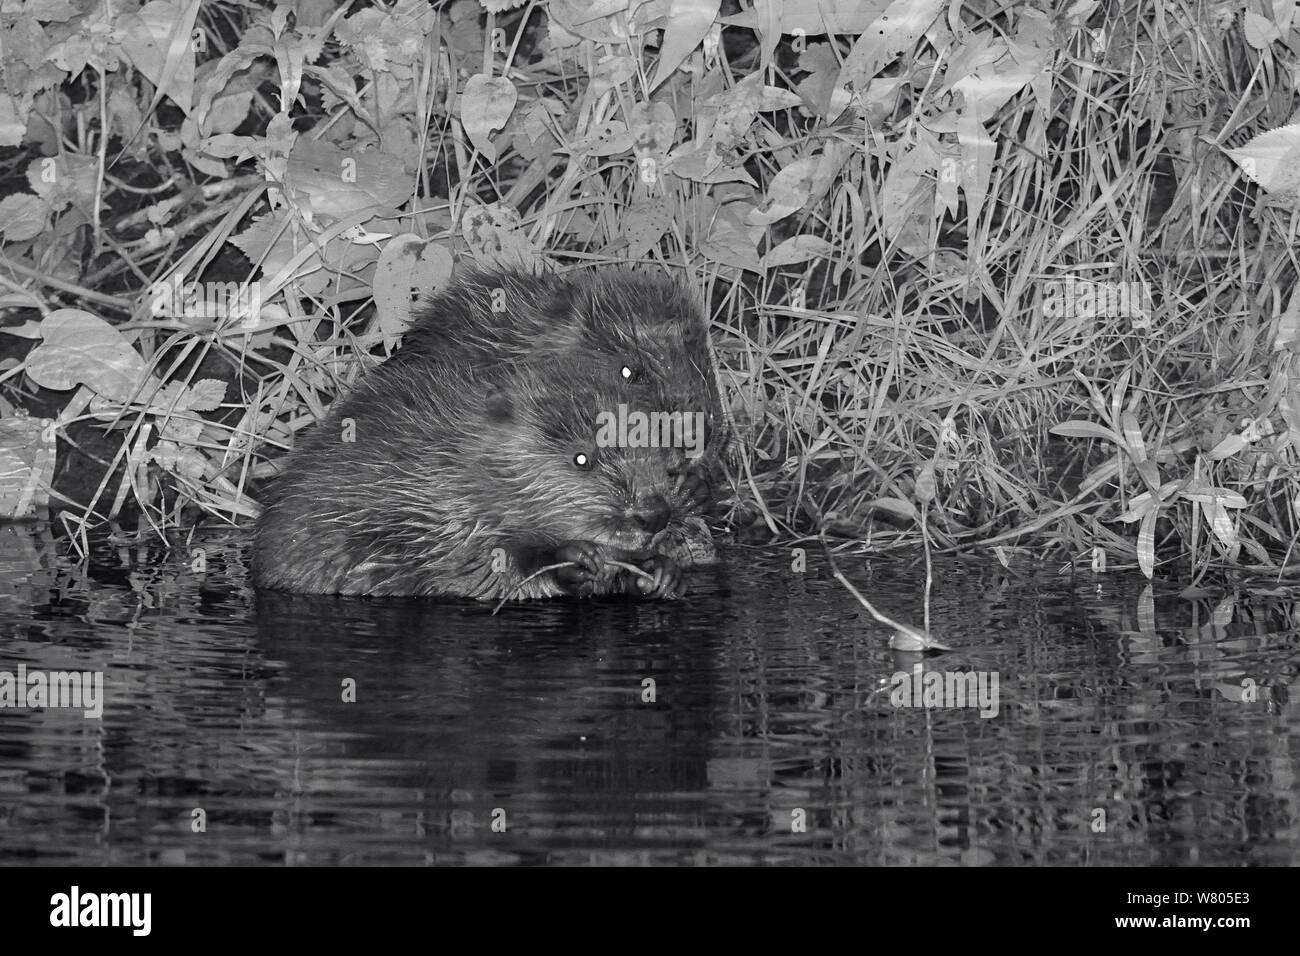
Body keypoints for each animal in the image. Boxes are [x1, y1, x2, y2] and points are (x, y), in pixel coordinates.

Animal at [251, 355, 698, 600]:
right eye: (582, 458)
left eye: (663, 456)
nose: (654, 515)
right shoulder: (439, 517)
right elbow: (479, 571)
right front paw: (576, 559)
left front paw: (662, 572)